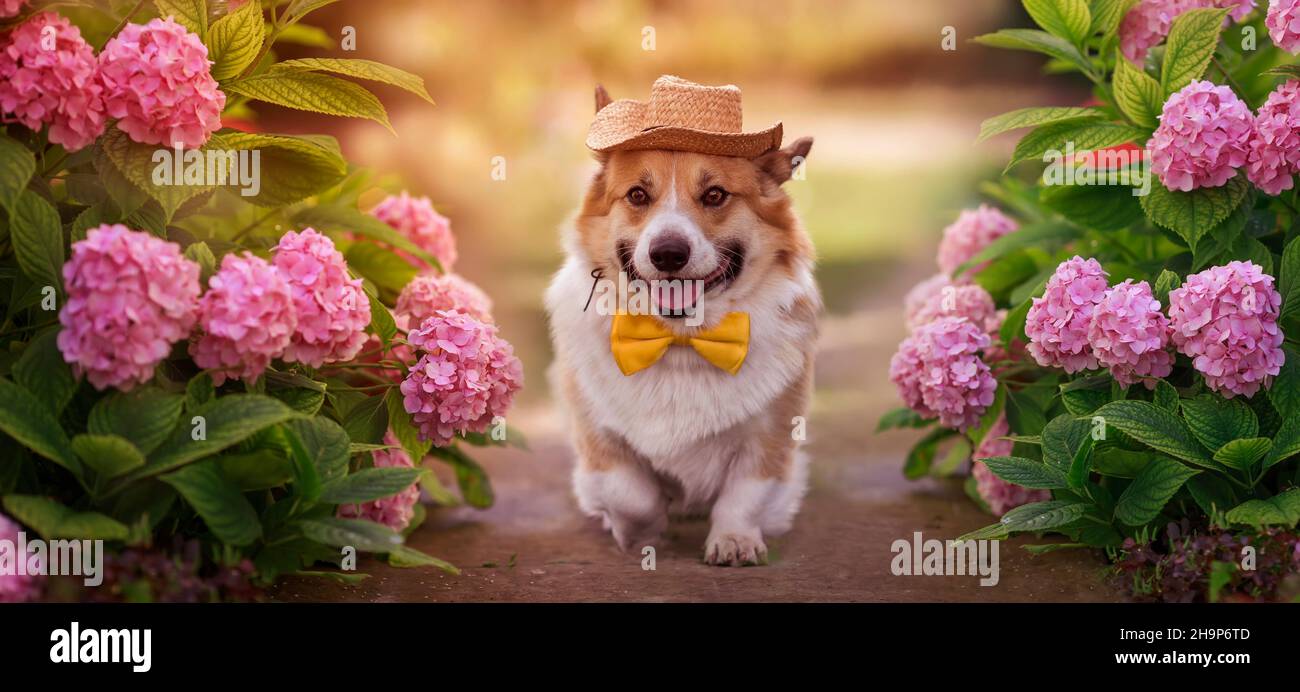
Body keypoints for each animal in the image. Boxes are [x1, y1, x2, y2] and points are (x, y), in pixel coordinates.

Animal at [543, 78, 816, 564]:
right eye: (637, 195)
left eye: (715, 195)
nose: (668, 254)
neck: (680, 338)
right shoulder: (598, 434)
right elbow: (630, 492)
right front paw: (639, 533)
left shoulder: (771, 437)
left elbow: (744, 495)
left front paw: (734, 541)